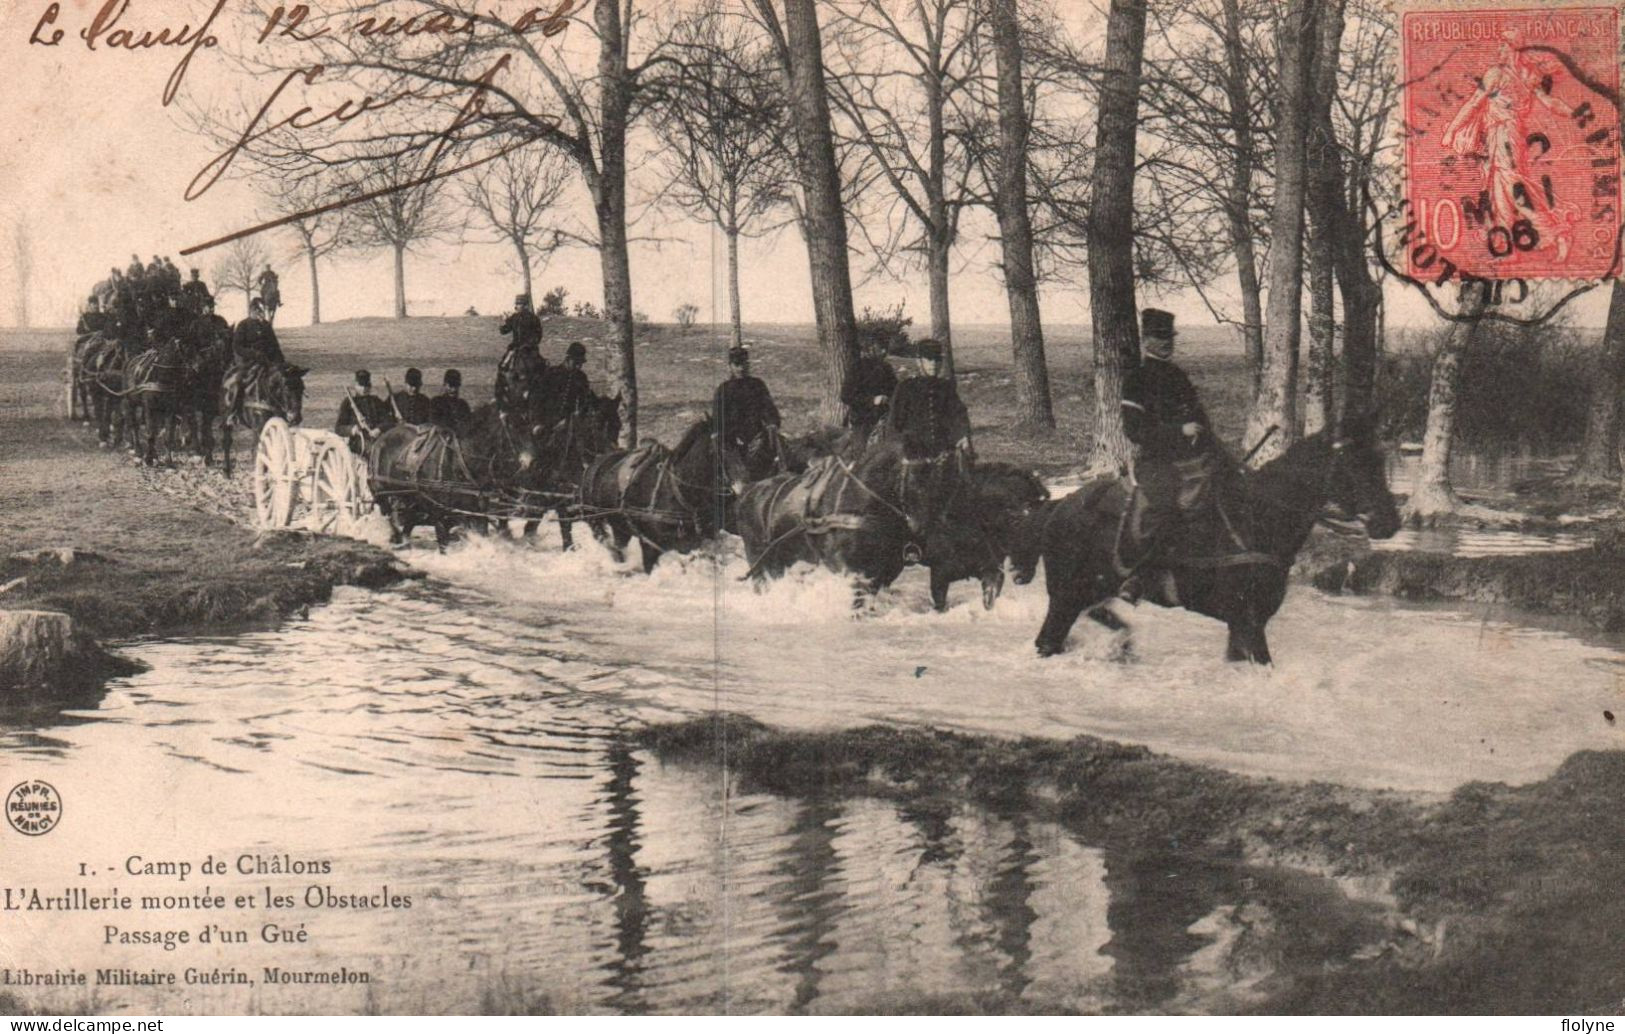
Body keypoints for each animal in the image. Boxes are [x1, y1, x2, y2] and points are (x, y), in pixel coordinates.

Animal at [581, 414, 750, 572]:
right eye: (722, 448)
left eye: (740, 446)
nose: (744, 485)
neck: (678, 492)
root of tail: (596, 461)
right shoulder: (649, 545)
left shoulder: (695, 542)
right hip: (595, 521)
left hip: (619, 526)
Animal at [741, 425, 975, 598]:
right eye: (915, 480)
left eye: (948, 483)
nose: (923, 531)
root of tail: (749, 490)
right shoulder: (851, 572)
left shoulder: (884, 573)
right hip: (760, 563)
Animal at [923, 461, 1046, 614]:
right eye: (1014, 521)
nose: (1023, 576)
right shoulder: (939, 574)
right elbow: (940, 605)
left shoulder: (992, 571)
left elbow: (989, 599)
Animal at [1020, 414, 1404, 663]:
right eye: (1355, 464)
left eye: (1379, 460)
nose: (1390, 522)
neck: (1258, 521)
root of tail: (1061, 504)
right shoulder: (1248, 621)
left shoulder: (1244, 624)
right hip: (1065, 597)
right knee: (1048, 641)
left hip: (1091, 590)